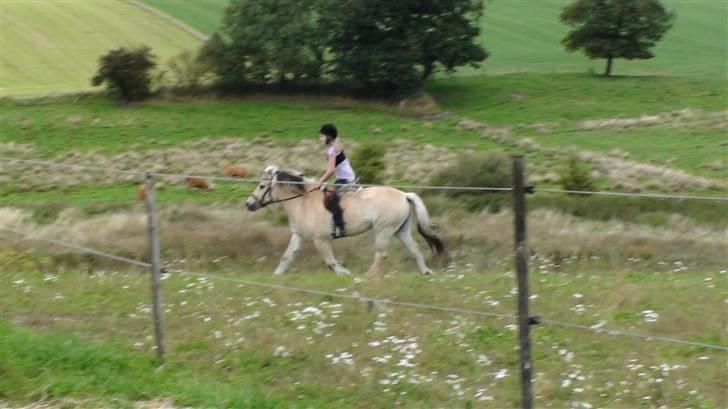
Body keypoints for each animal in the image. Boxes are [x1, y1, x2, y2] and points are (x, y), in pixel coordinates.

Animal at [245, 165, 444, 274]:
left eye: (261, 186)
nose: (249, 204)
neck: (303, 201)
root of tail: (404, 195)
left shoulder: (321, 240)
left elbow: (331, 262)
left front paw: (345, 273)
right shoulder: (299, 236)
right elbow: (286, 257)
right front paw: (276, 276)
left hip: (384, 229)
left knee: (381, 253)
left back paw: (368, 276)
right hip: (400, 230)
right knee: (415, 249)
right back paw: (426, 272)